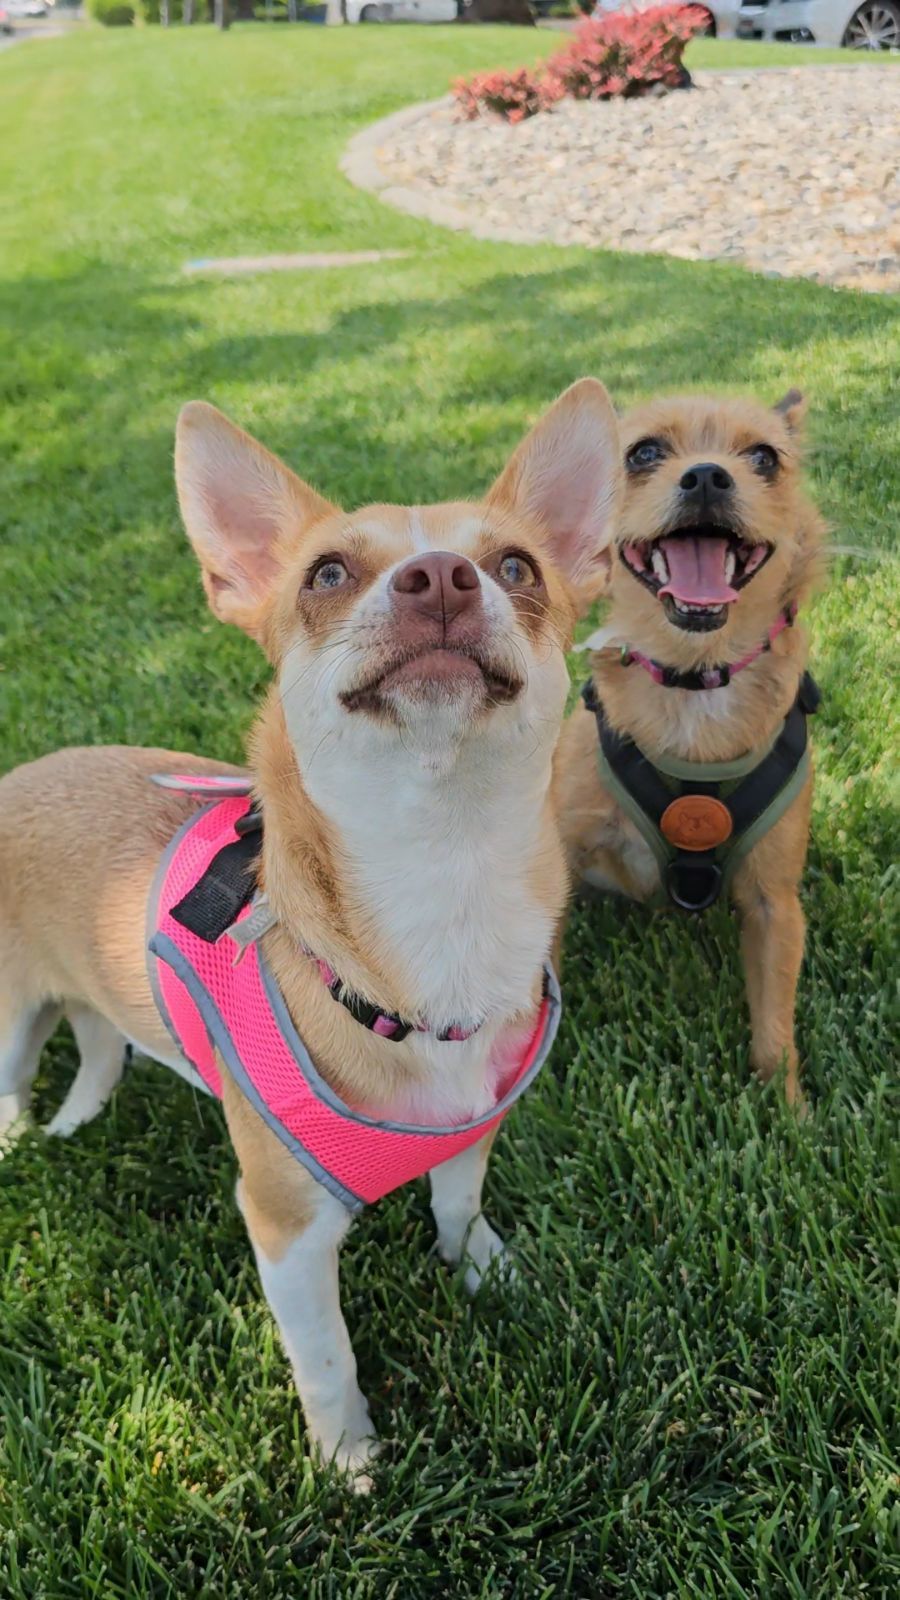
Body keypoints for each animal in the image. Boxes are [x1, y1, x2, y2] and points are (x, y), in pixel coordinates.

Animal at [557, 393, 826, 1107]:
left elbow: (774, 1023)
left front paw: (787, 1110)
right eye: (644, 452)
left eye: (764, 457)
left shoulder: (774, 906)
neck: (695, 677)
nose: (707, 475)